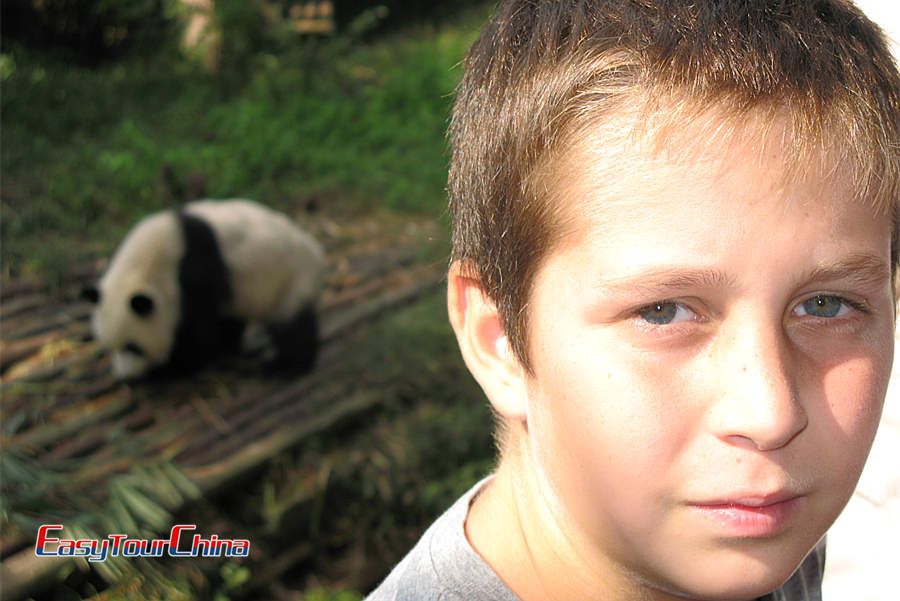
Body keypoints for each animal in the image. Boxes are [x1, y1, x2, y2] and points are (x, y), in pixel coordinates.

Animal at [82, 202, 328, 380]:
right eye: (108, 347)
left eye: (134, 348)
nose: (127, 377)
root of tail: (317, 253)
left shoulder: (195, 272)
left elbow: (199, 333)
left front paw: (169, 369)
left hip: (291, 280)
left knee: (292, 327)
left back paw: (284, 367)